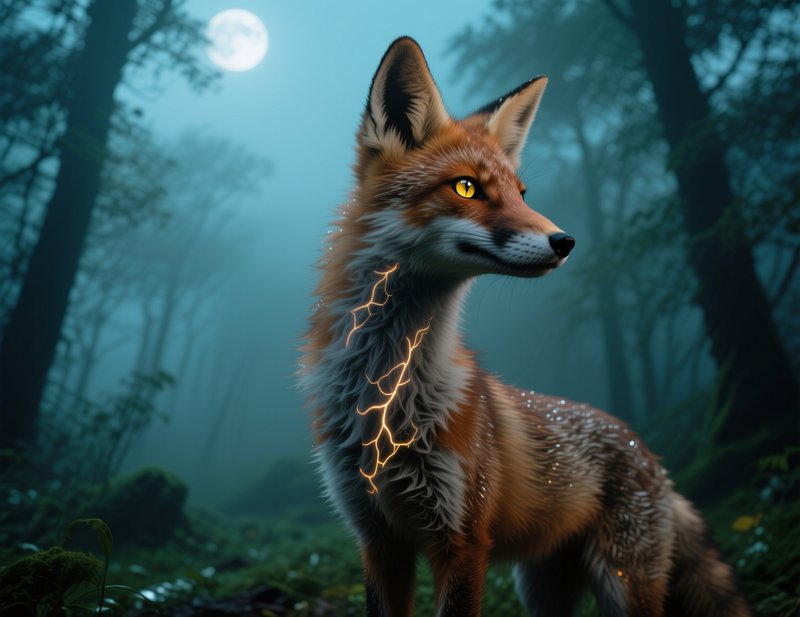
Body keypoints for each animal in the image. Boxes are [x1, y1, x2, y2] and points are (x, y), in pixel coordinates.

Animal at [301, 36, 751, 617]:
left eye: (522, 192)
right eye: (466, 187)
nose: (567, 241)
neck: (386, 397)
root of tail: (651, 453)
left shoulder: (462, 539)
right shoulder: (377, 538)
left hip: (623, 586)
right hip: (540, 590)